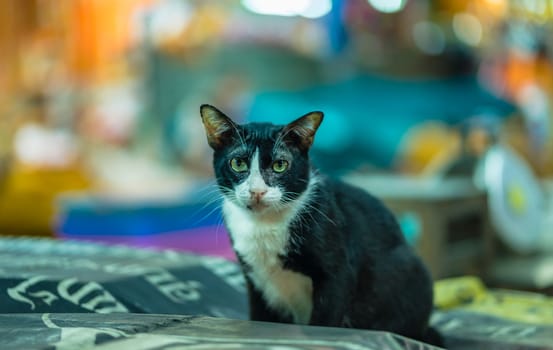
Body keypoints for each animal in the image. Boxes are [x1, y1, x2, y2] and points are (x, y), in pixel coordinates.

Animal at [199, 104, 440, 344]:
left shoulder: (338, 271)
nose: (257, 191)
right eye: (238, 163)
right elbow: (259, 317)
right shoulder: (255, 280)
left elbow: (325, 319)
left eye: (280, 165)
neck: (263, 224)